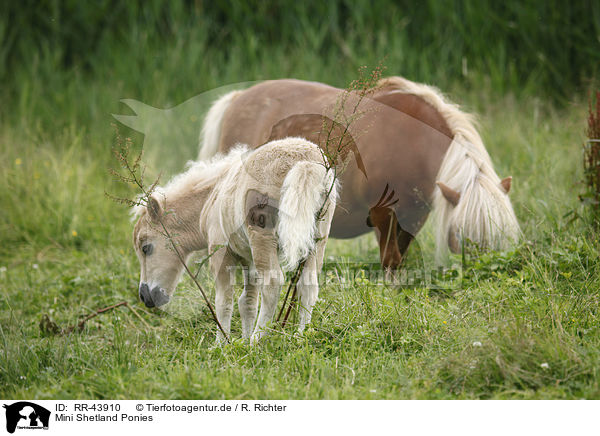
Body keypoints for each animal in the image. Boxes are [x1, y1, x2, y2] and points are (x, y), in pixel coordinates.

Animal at [199, 77, 516, 268]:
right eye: (460, 238)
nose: (481, 274)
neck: (412, 139)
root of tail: (236, 99)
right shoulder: (382, 213)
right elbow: (390, 259)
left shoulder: (413, 216)